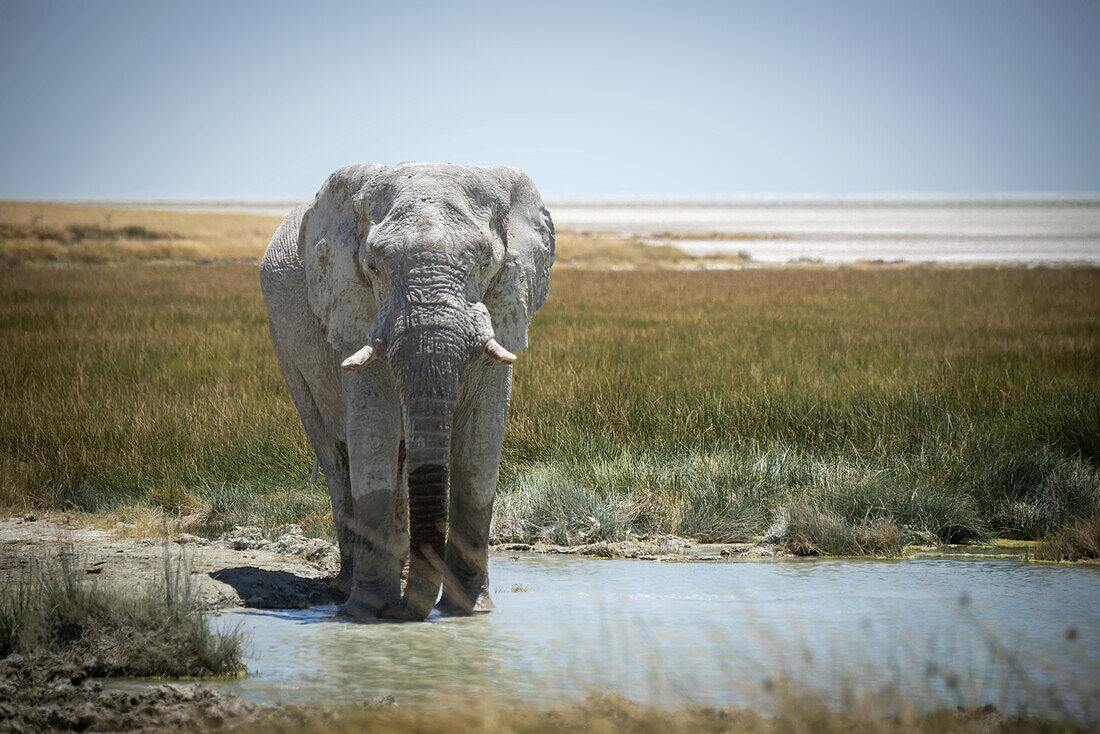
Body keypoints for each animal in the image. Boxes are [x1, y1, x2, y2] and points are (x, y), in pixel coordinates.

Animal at [256, 163, 550, 625]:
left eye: (486, 261)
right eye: (372, 265)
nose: (398, 613)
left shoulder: (506, 306)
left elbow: (482, 441)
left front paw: (469, 613)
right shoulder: (353, 309)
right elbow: (372, 429)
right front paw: (366, 612)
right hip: (285, 347)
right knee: (335, 454)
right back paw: (346, 589)